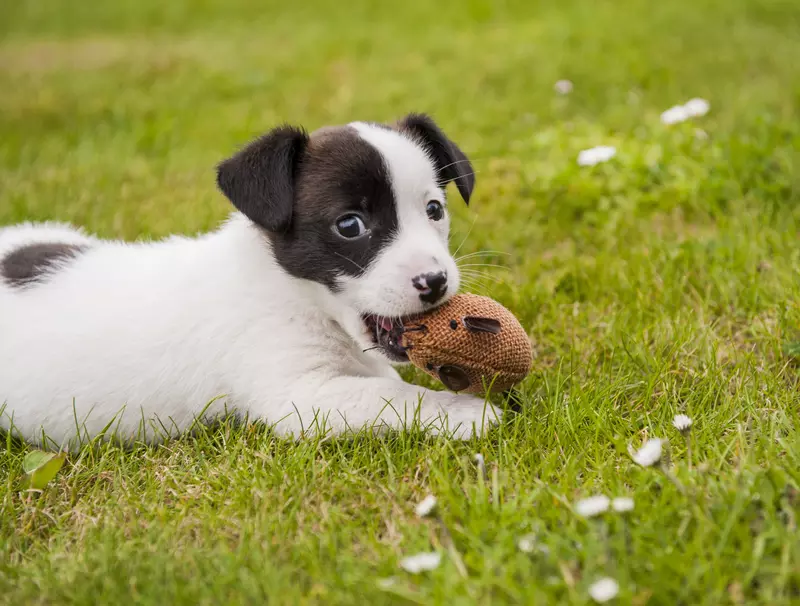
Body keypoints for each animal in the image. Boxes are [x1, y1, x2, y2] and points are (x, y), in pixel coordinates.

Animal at [0, 115, 500, 452]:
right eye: (350, 225)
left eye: (434, 210)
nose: (436, 281)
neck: (296, 296)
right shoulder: (298, 398)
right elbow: (391, 393)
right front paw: (465, 411)